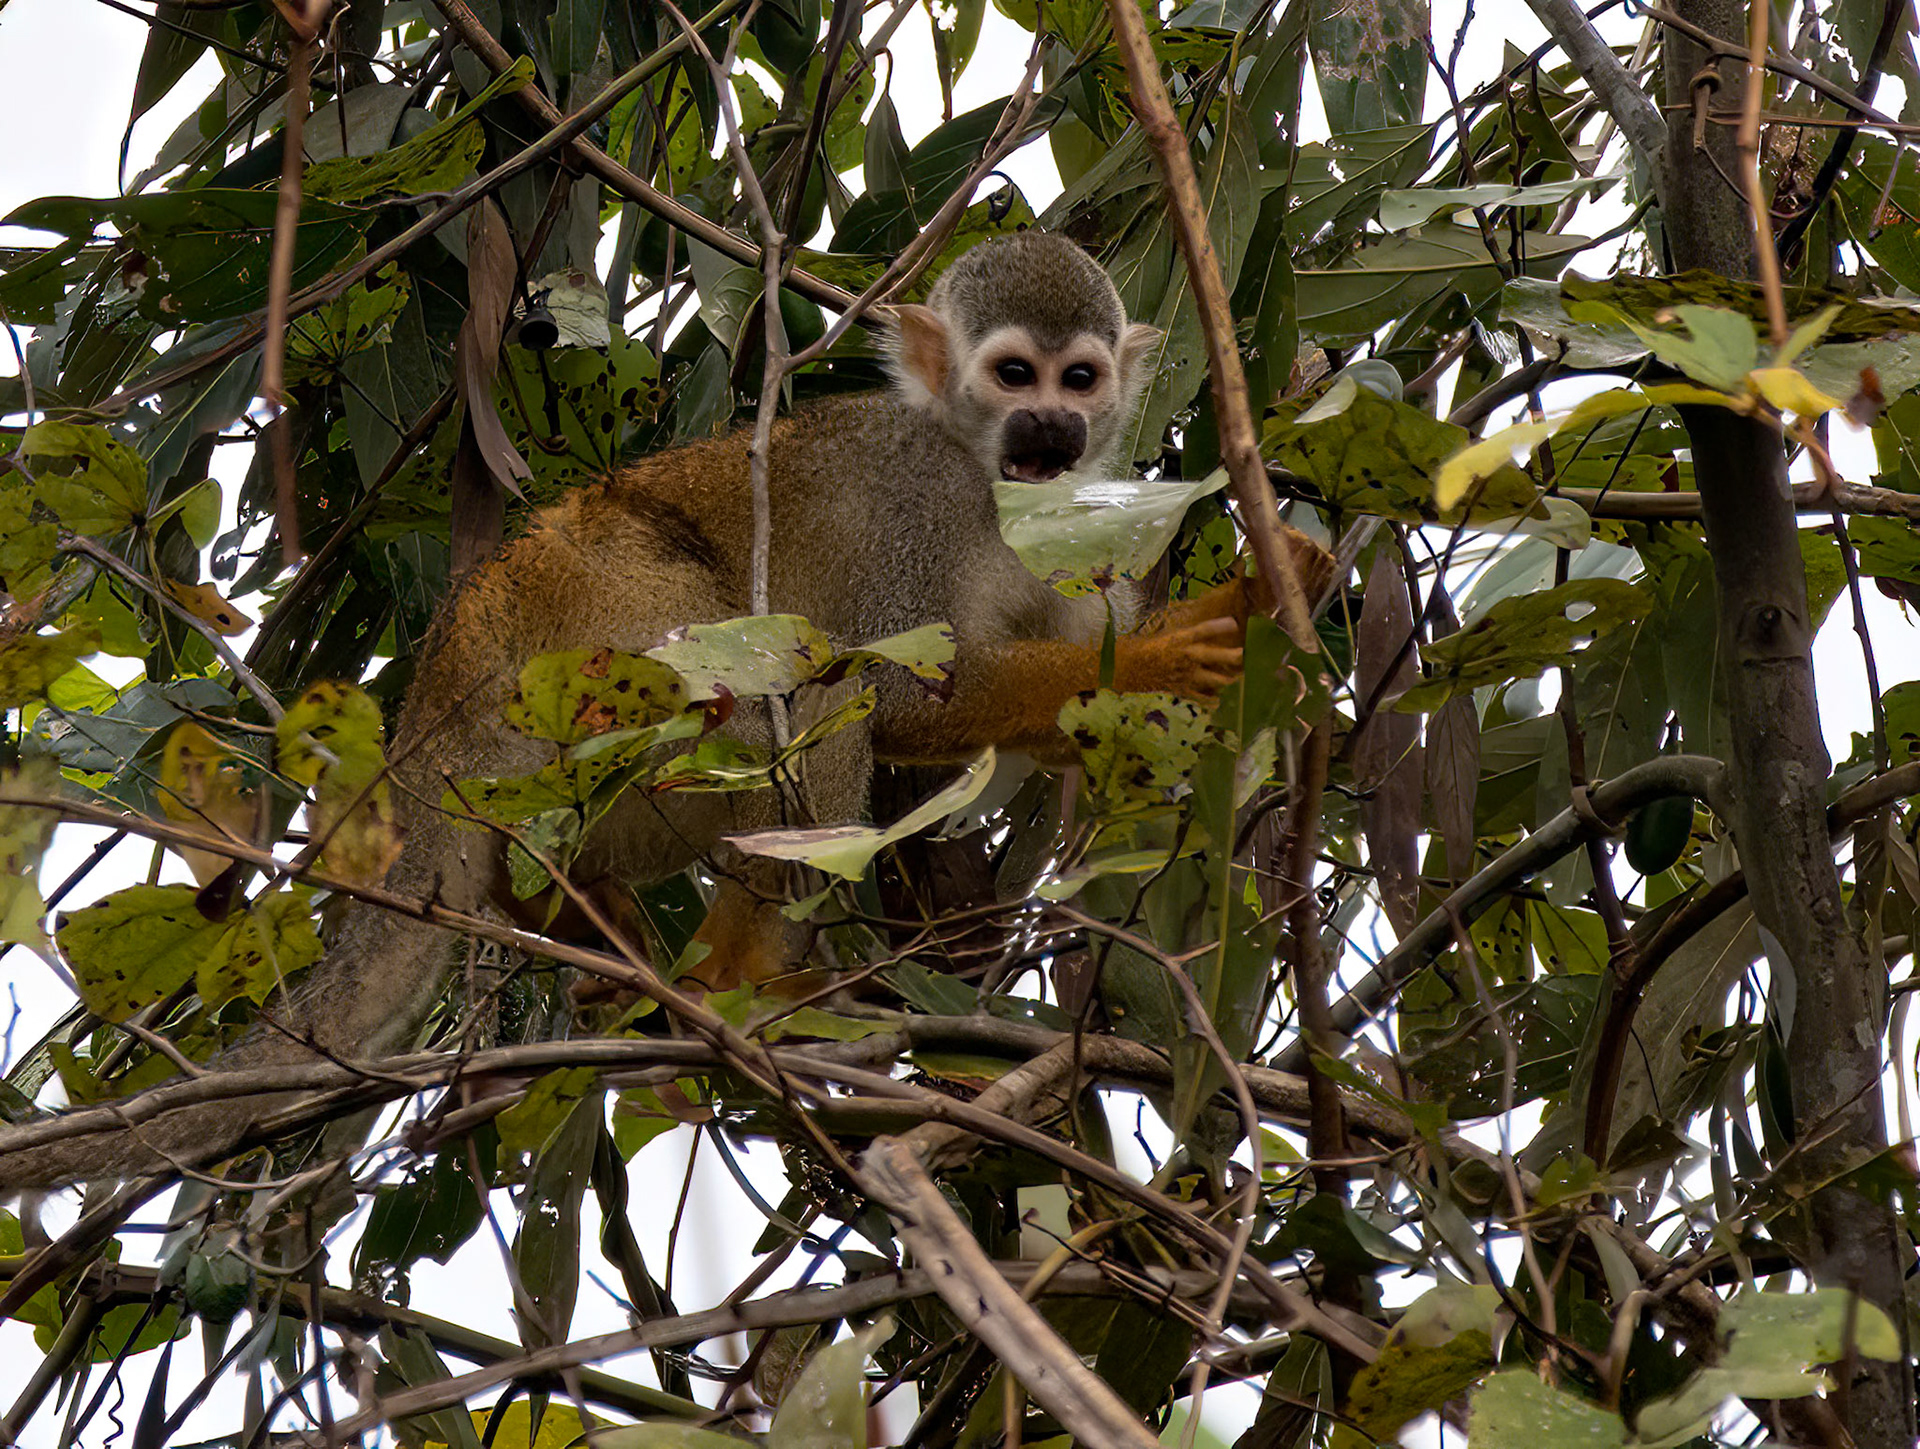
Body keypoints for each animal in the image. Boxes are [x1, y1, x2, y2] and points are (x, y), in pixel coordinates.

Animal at [0, 232, 1334, 1189]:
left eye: (1080, 379)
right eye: (1014, 374)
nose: (1052, 428)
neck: (983, 475)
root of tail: (441, 696)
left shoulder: (1072, 533)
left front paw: (1257, 597)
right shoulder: (915, 496)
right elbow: (900, 699)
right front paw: (1185, 643)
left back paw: (599, 939)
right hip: (597, 696)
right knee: (801, 683)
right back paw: (740, 976)